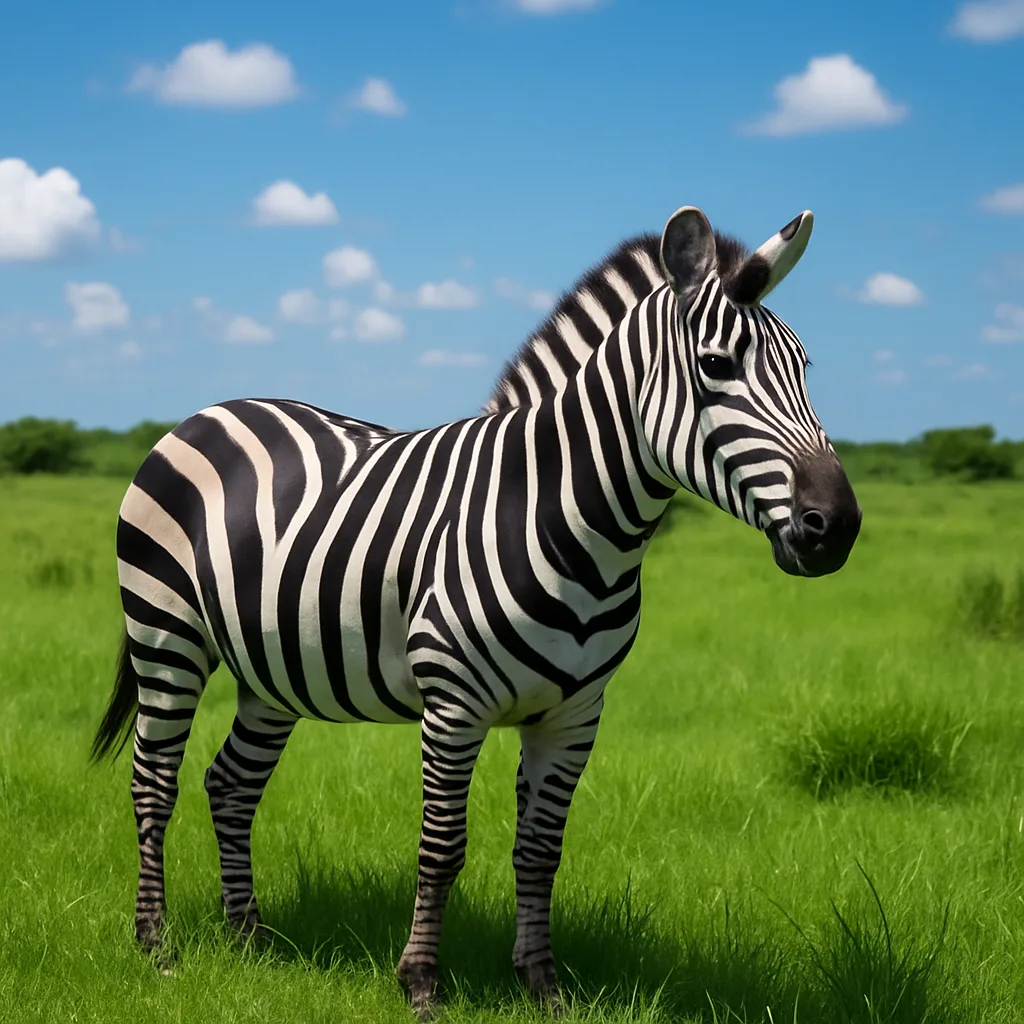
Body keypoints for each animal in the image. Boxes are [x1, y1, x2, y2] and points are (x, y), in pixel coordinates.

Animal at [91, 204, 861, 1017]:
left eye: (805, 369)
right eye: (716, 366)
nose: (837, 527)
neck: (570, 521)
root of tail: (209, 412)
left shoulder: (575, 715)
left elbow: (541, 849)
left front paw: (544, 987)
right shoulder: (454, 705)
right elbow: (442, 845)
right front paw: (422, 985)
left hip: (272, 670)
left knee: (231, 784)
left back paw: (248, 938)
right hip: (165, 635)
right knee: (155, 781)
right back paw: (158, 947)